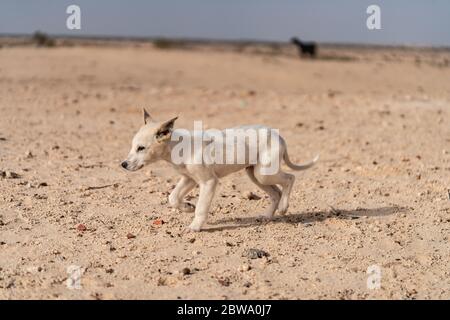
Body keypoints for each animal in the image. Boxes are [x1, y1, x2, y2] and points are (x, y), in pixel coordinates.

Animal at [121, 109, 318, 231]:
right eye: (132, 146)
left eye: (141, 148)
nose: (123, 164)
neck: (178, 147)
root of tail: (279, 135)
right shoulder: (189, 179)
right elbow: (173, 198)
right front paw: (187, 207)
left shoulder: (208, 182)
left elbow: (201, 207)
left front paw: (195, 226)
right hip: (255, 175)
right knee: (276, 192)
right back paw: (267, 216)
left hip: (264, 174)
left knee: (290, 178)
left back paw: (284, 208)